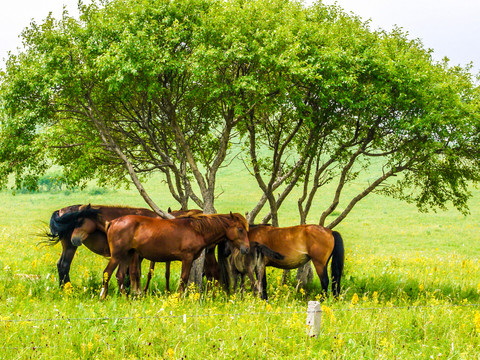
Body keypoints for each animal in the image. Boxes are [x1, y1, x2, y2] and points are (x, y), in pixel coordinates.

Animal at [101, 212, 251, 300]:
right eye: (240, 229)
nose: (247, 249)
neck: (196, 230)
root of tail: (113, 222)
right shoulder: (187, 258)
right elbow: (183, 278)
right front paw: (179, 298)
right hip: (117, 256)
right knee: (107, 273)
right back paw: (103, 297)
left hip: (127, 255)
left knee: (119, 275)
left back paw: (126, 299)